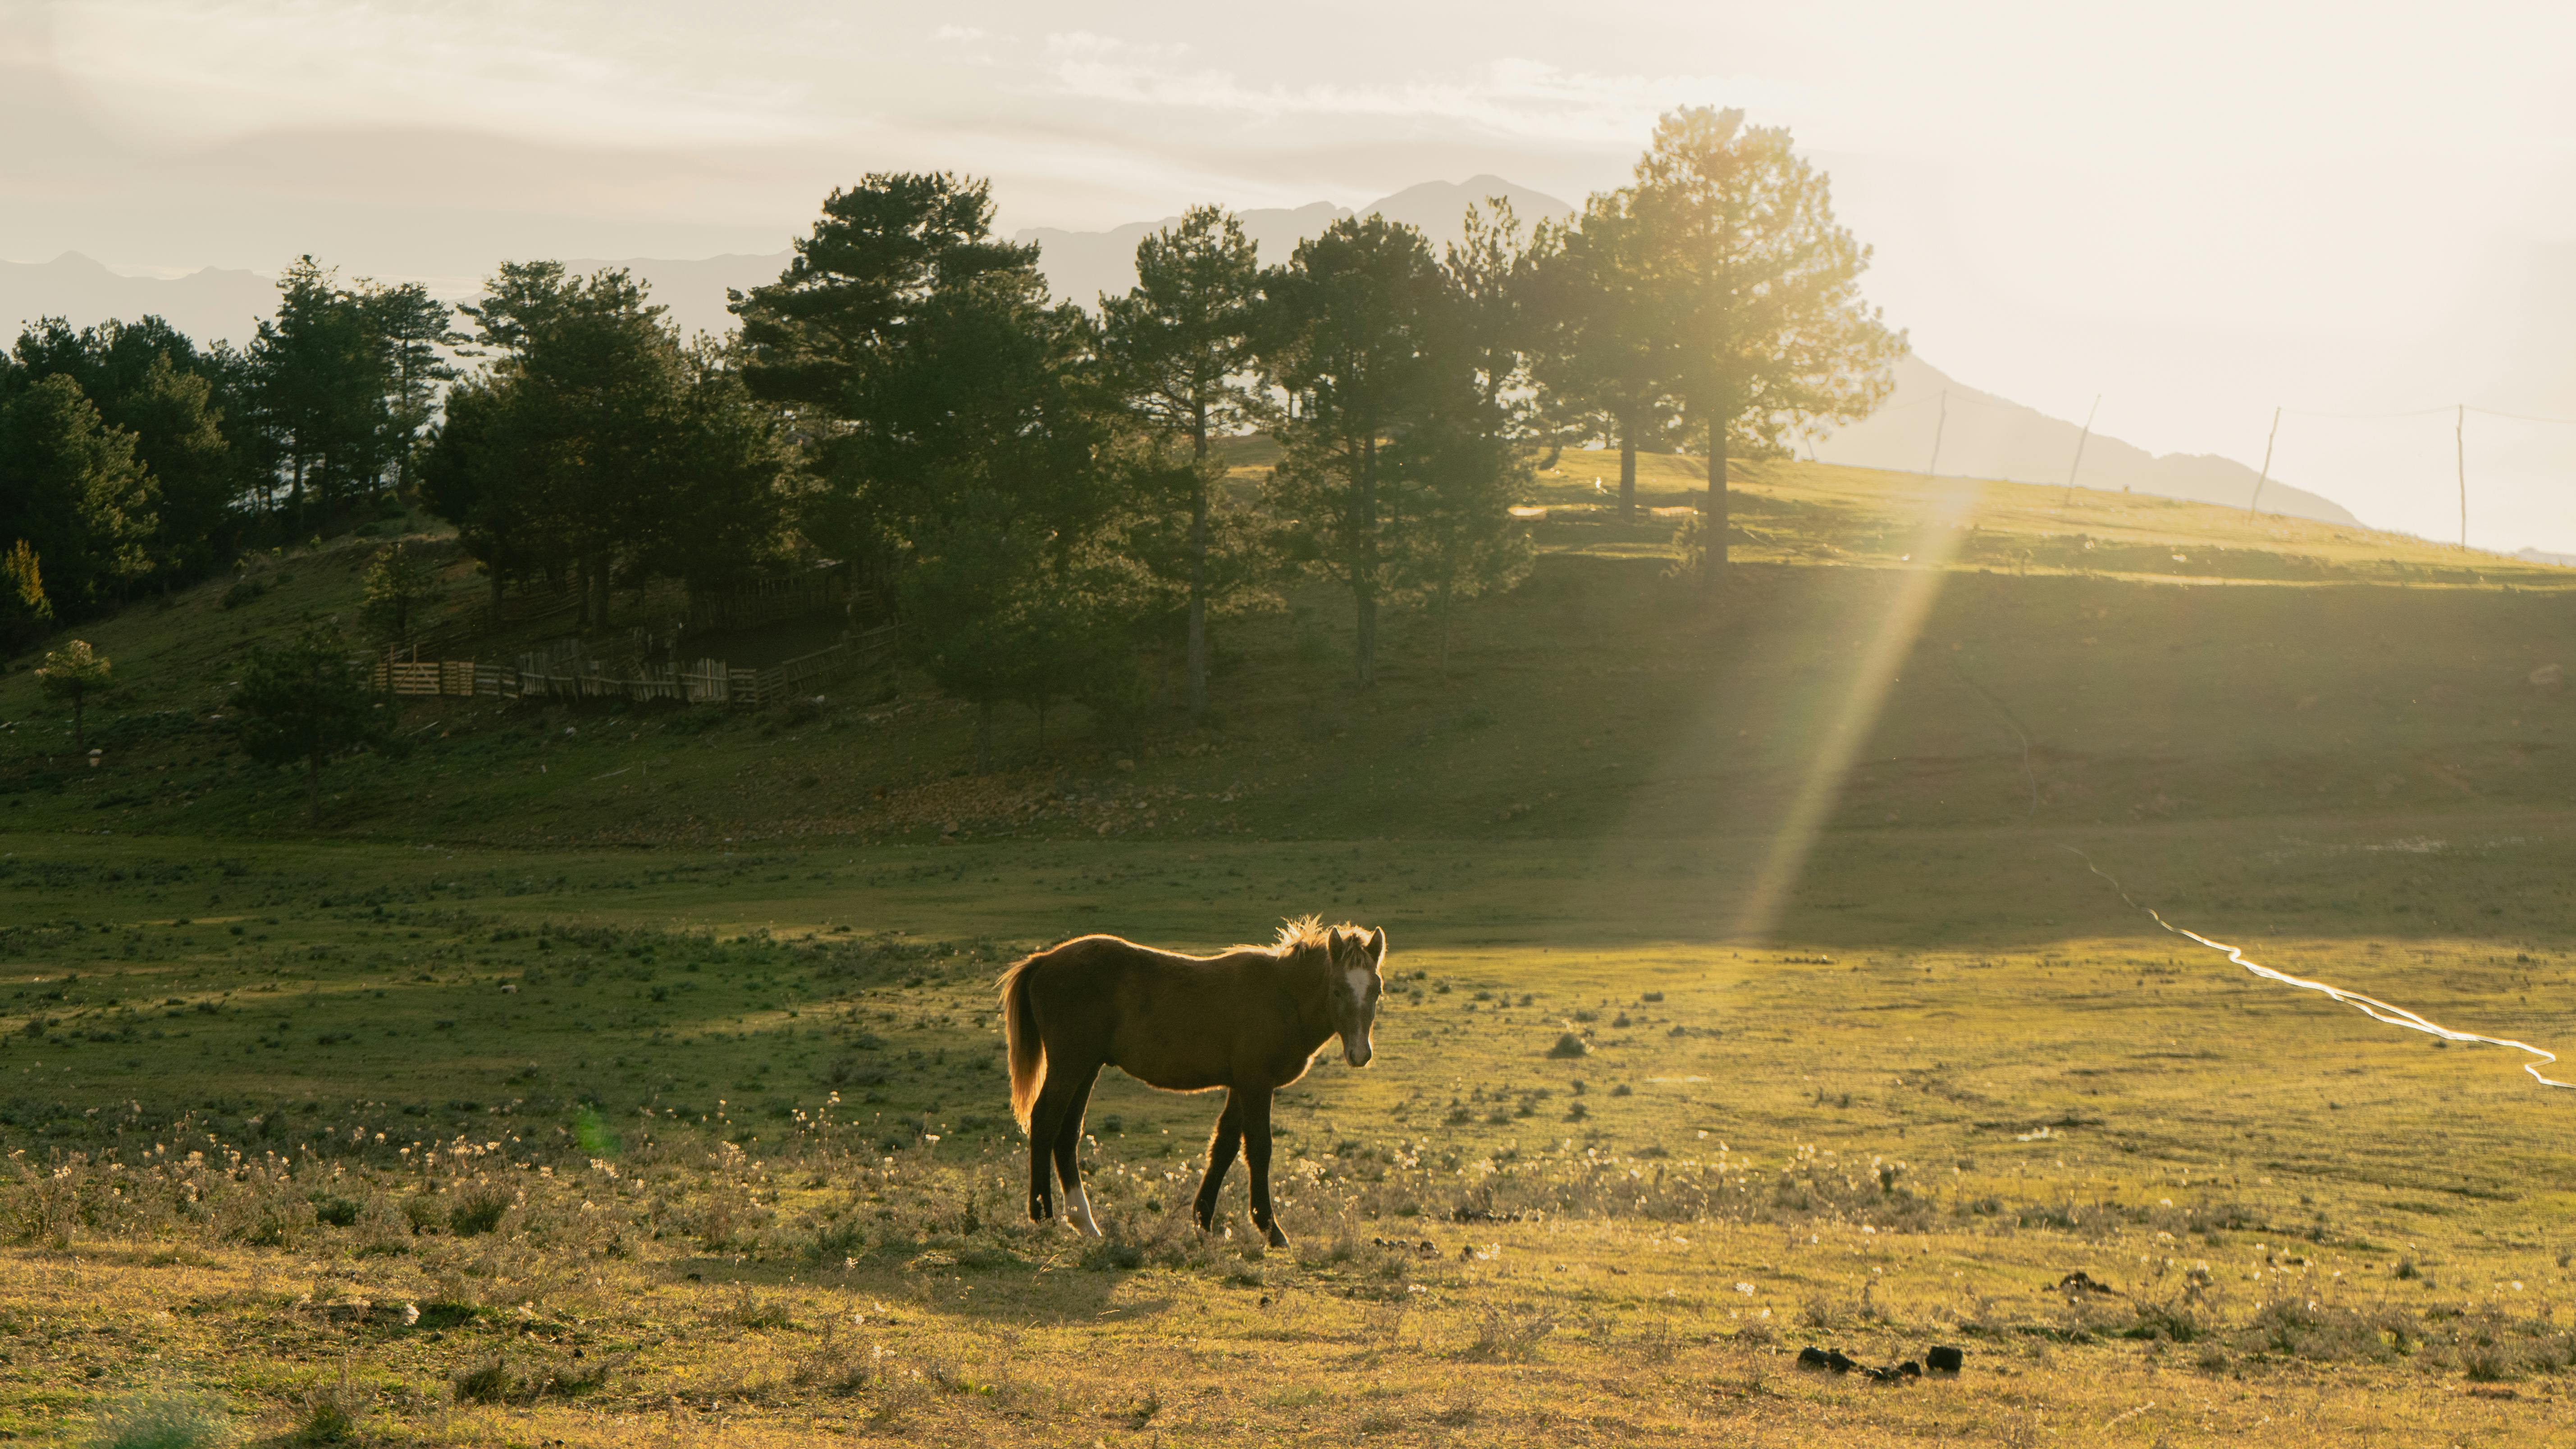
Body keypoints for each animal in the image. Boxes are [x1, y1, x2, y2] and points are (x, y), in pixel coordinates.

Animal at [994, 916, 1391, 1245]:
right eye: (1337, 990)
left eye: (1376, 990)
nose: (1360, 1054)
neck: (1282, 996)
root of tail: (1044, 960)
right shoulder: (1256, 1084)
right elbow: (1259, 1149)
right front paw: (1270, 1229)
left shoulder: (1240, 1085)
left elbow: (1224, 1147)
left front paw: (1204, 1220)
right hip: (1070, 1065)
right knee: (1045, 1122)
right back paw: (1043, 1217)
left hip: (1086, 1067)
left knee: (1067, 1133)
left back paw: (1084, 1223)